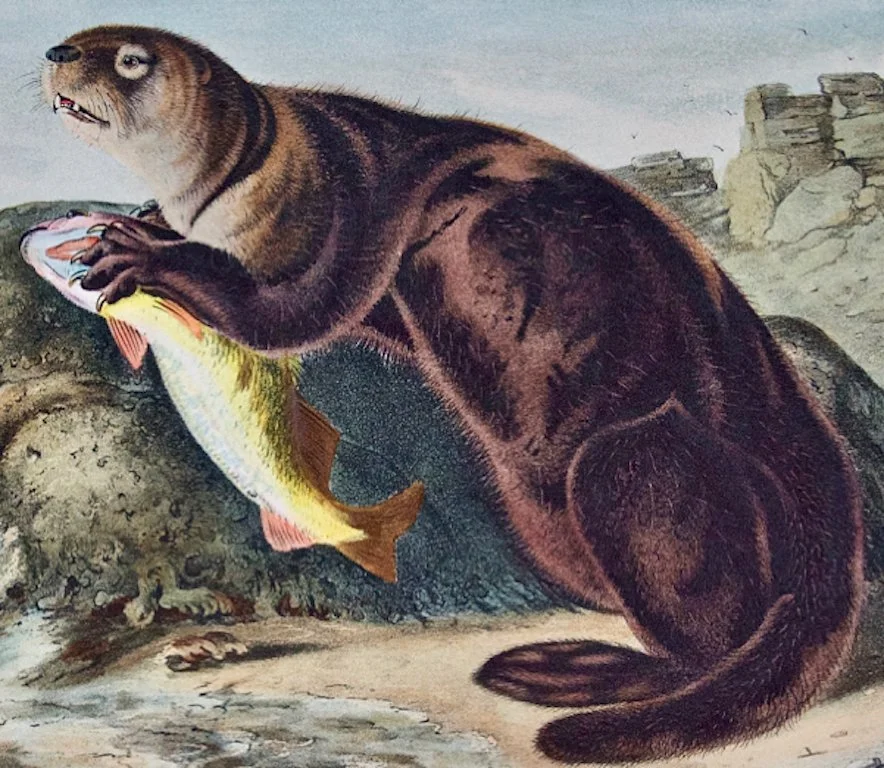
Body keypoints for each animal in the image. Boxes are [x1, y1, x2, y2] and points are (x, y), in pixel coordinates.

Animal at [42, 26, 864, 764]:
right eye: (83, 37)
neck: (276, 156)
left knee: (705, 629)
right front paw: (144, 222)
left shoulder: (346, 204)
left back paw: (577, 671)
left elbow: (290, 313)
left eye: (131, 59)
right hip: (542, 525)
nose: (56, 52)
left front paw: (140, 250)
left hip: (633, 458)